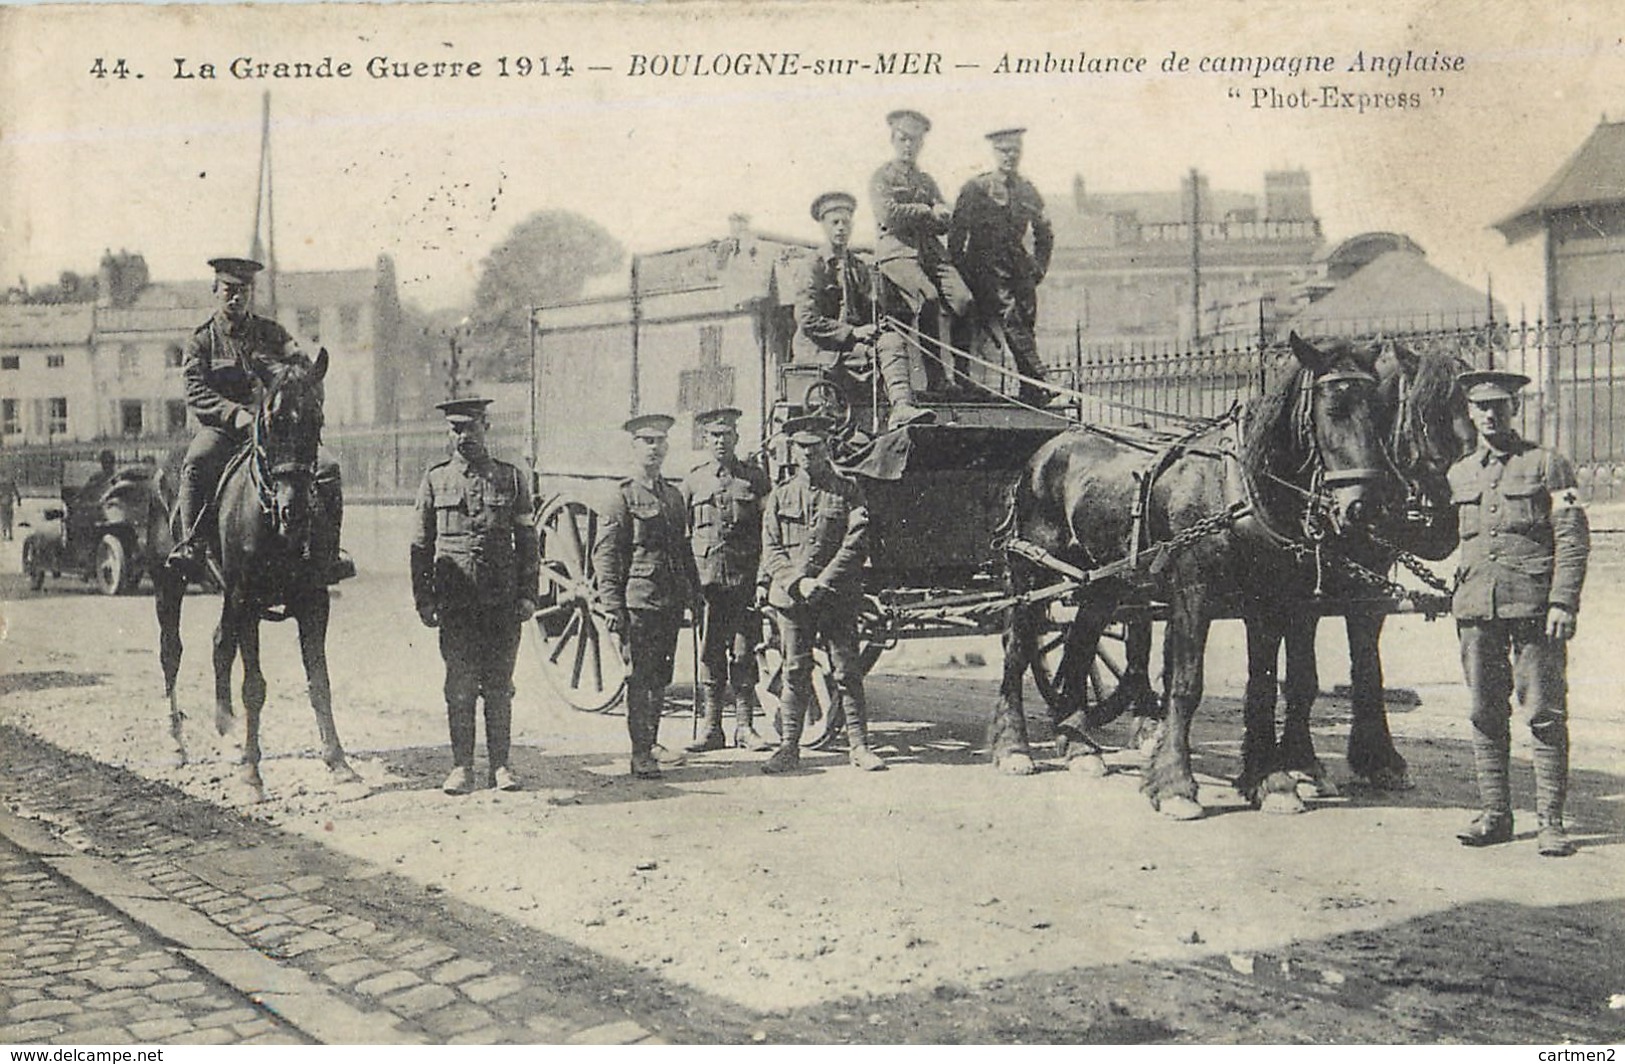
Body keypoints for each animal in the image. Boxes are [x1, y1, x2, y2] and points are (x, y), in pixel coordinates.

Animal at [153, 354, 360, 802]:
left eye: (317, 418)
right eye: (271, 420)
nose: (294, 509)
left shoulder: (314, 601)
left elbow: (319, 681)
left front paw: (339, 764)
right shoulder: (247, 599)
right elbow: (255, 686)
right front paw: (252, 774)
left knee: (219, 642)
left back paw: (226, 724)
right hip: (169, 583)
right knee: (171, 652)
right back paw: (176, 743)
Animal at [988, 337, 1397, 818]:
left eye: (1379, 411)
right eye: (1333, 408)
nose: (1365, 507)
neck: (1238, 487)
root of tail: (1048, 449)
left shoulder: (1269, 602)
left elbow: (1262, 685)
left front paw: (1270, 780)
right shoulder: (1193, 595)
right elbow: (1186, 684)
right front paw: (1175, 785)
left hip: (1100, 583)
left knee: (1080, 646)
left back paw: (1079, 745)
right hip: (1032, 573)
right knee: (1017, 649)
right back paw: (1013, 748)